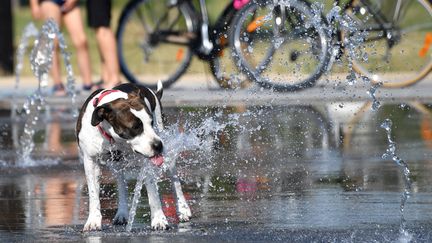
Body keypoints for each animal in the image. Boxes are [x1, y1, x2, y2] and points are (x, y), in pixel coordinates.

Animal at [76, 82, 191, 231]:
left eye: (151, 123)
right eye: (135, 127)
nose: (158, 145)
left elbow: (152, 191)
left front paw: (159, 219)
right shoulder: (90, 161)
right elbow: (93, 193)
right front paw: (93, 220)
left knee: (174, 178)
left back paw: (183, 209)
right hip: (117, 164)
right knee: (121, 182)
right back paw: (122, 213)